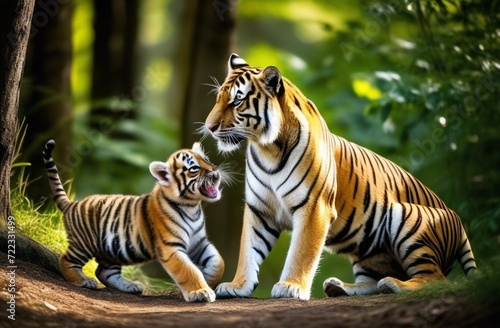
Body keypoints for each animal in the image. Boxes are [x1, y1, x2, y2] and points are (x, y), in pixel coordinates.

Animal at [42, 139, 226, 302]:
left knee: (104, 271)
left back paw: (130, 286)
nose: (216, 171)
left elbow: (219, 261)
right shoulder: (171, 247)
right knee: (66, 260)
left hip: (110, 250)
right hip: (84, 243)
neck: (192, 207)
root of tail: (71, 203)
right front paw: (201, 292)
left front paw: (209, 280)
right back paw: (83, 281)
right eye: (194, 168)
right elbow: (188, 270)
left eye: (207, 160)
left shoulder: (198, 243)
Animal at [203, 53, 476, 300]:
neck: (266, 148)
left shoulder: (314, 207)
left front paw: (291, 286)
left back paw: (393, 285)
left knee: (435, 276)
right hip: (370, 253)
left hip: (406, 215)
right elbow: (248, 251)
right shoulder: (259, 209)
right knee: (371, 281)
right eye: (218, 99)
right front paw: (238, 286)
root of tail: (457, 220)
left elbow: (302, 252)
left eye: (237, 102)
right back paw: (339, 287)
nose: (209, 127)